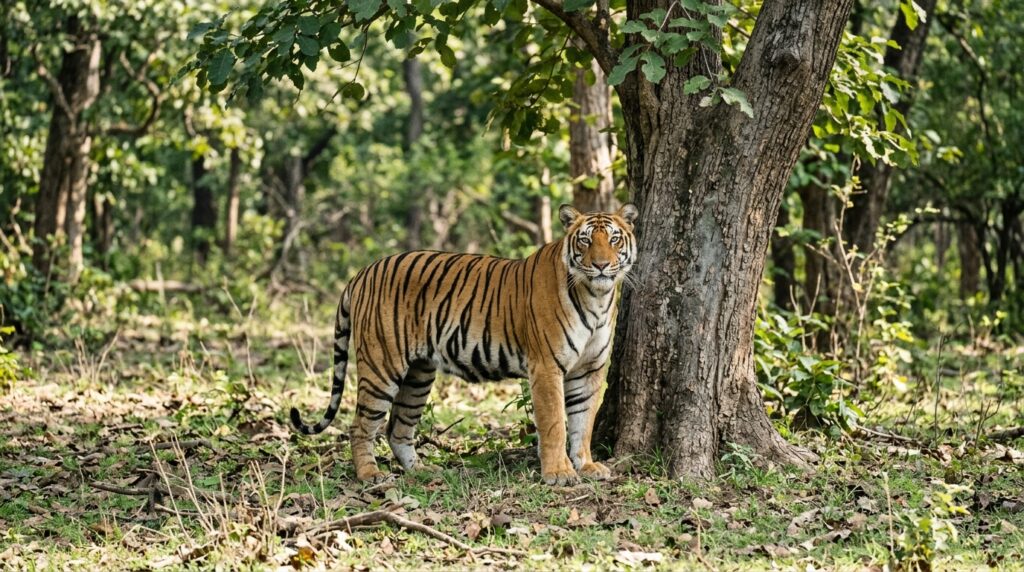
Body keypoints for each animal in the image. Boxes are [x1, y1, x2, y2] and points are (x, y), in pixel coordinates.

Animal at [290, 203, 639, 485]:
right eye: (585, 240)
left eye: (614, 240)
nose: (601, 265)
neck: (597, 297)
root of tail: (362, 272)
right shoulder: (546, 367)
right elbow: (555, 423)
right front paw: (559, 473)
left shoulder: (589, 369)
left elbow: (583, 421)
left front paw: (587, 466)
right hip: (381, 366)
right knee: (360, 426)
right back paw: (370, 475)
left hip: (418, 375)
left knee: (397, 427)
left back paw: (422, 470)